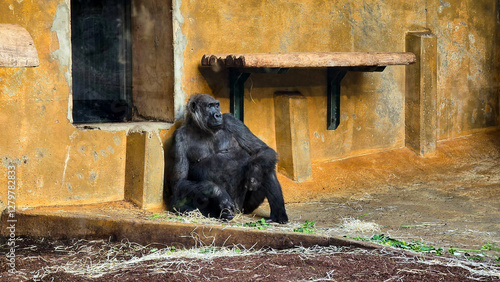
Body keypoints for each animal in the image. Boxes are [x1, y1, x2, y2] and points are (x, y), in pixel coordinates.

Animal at [166, 93, 288, 224]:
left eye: (217, 105)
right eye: (209, 106)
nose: (218, 115)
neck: (202, 129)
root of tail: (238, 212)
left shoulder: (232, 121)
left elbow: (261, 150)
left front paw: (254, 173)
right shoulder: (179, 138)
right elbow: (179, 182)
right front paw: (217, 192)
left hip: (245, 207)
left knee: (264, 165)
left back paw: (279, 216)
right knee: (177, 203)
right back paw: (223, 214)